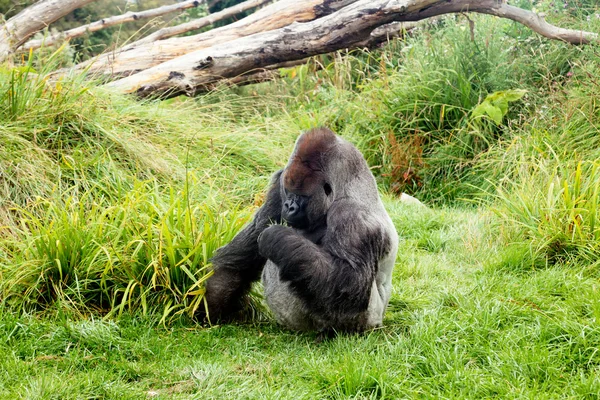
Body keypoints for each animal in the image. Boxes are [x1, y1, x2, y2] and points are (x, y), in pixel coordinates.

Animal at [205, 127, 398, 332]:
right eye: (289, 193)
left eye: (301, 196)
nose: (289, 206)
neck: (347, 183)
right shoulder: (279, 183)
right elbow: (245, 252)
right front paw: (211, 303)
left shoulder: (352, 214)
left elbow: (351, 284)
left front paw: (275, 237)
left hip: (364, 322)